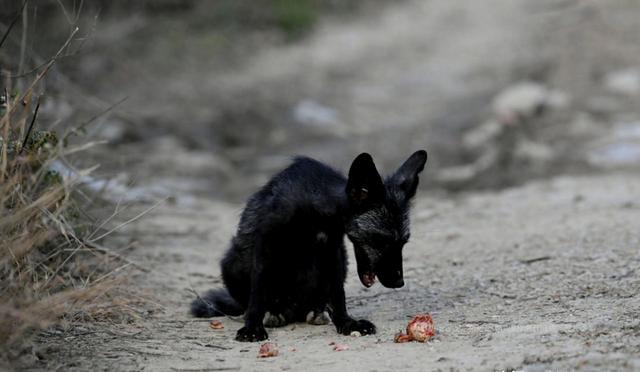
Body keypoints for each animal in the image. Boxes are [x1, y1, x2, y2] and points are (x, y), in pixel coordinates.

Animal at [192, 150, 428, 342]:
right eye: (380, 240)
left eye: (402, 243)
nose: (399, 282)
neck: (314, 208)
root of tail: (293, 309)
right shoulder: (265, 246)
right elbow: (257, 297)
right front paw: (252, 328)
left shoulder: (332, 250)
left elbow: (338, 295)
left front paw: (346, 323)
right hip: (233, 262)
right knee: (251, 304)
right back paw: (272, 314)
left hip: (341, 263)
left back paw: (316, 312)